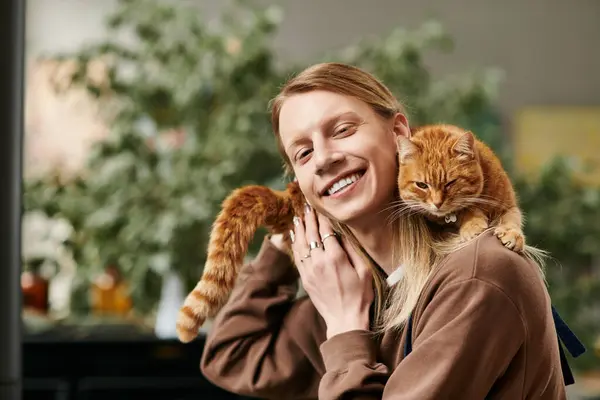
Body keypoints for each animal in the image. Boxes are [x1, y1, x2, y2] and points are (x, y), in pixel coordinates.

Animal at [398, 123, 524, 252]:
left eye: (450, 183)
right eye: (422, 185)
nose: (437, 203)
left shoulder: (509, 205)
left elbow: (512, 219)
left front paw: (511, 233)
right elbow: (466, 209)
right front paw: (473, 224)